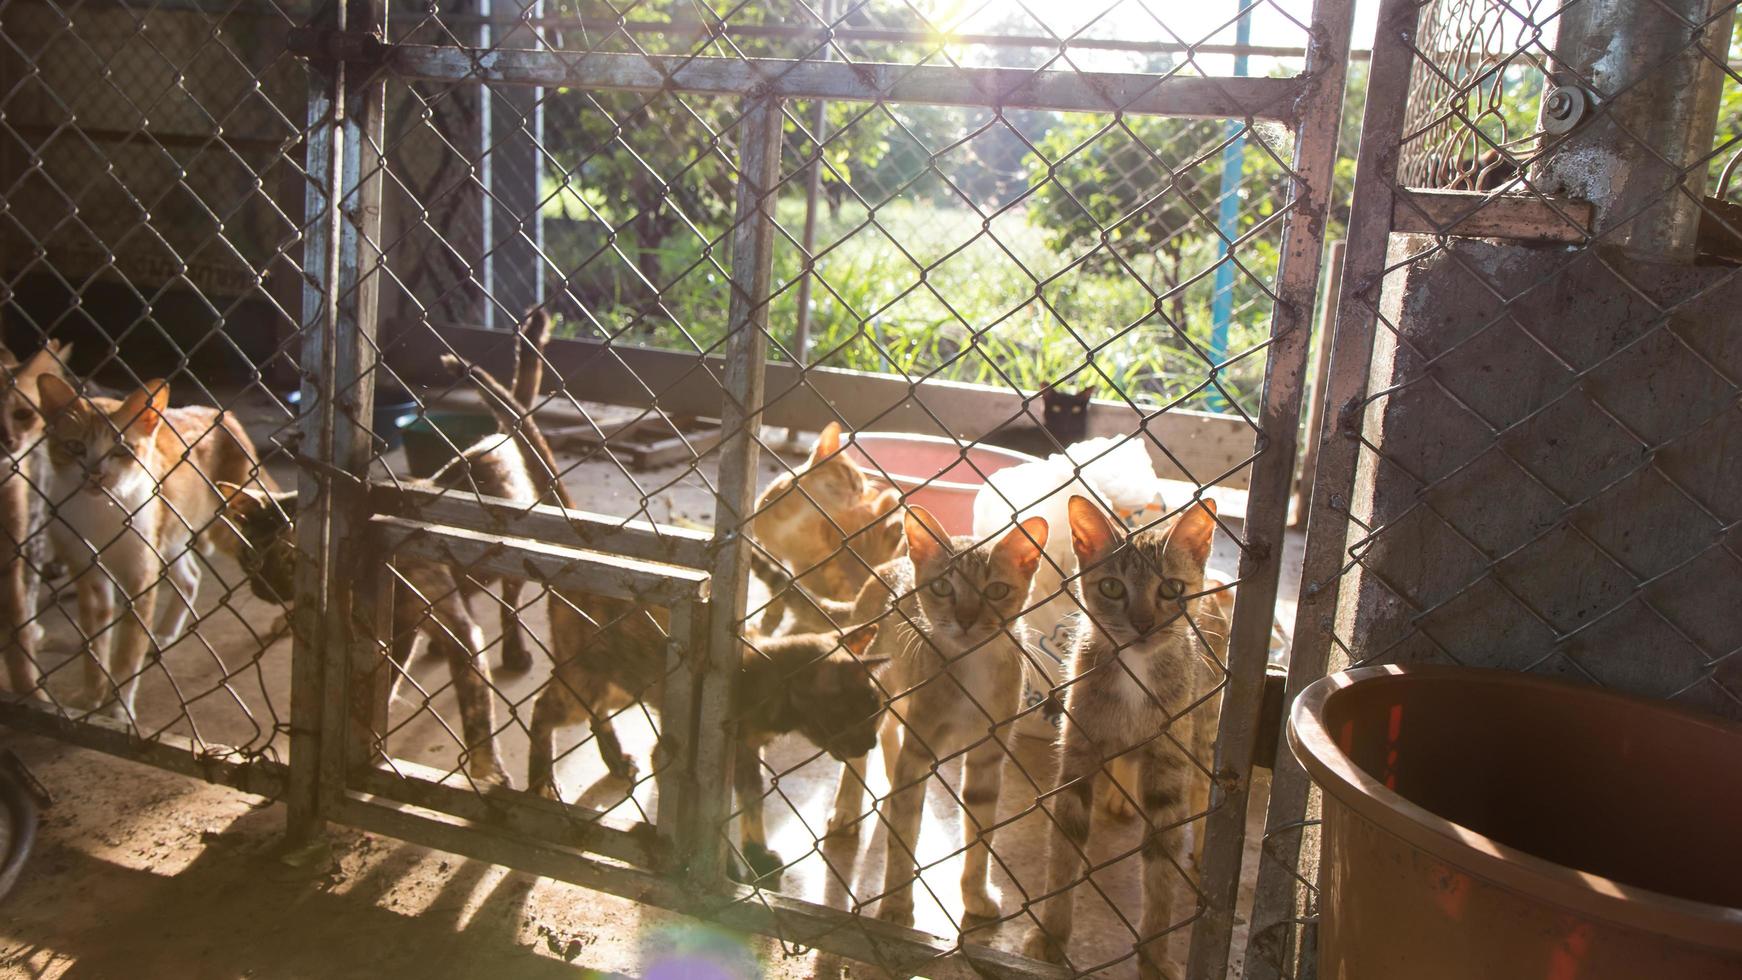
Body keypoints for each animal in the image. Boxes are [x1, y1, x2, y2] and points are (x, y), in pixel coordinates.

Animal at [818, 504, 1045, 926]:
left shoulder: (988, 753)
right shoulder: (921, 745)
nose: (967, 620)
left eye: (997, 590)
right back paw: (846, 808)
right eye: (942, 587)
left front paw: (975, 895)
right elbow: (904, 834)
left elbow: (981, 832)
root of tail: (887, 566)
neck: (972, 666)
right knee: (864, 750)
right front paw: (895, 905)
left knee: (890, 737)